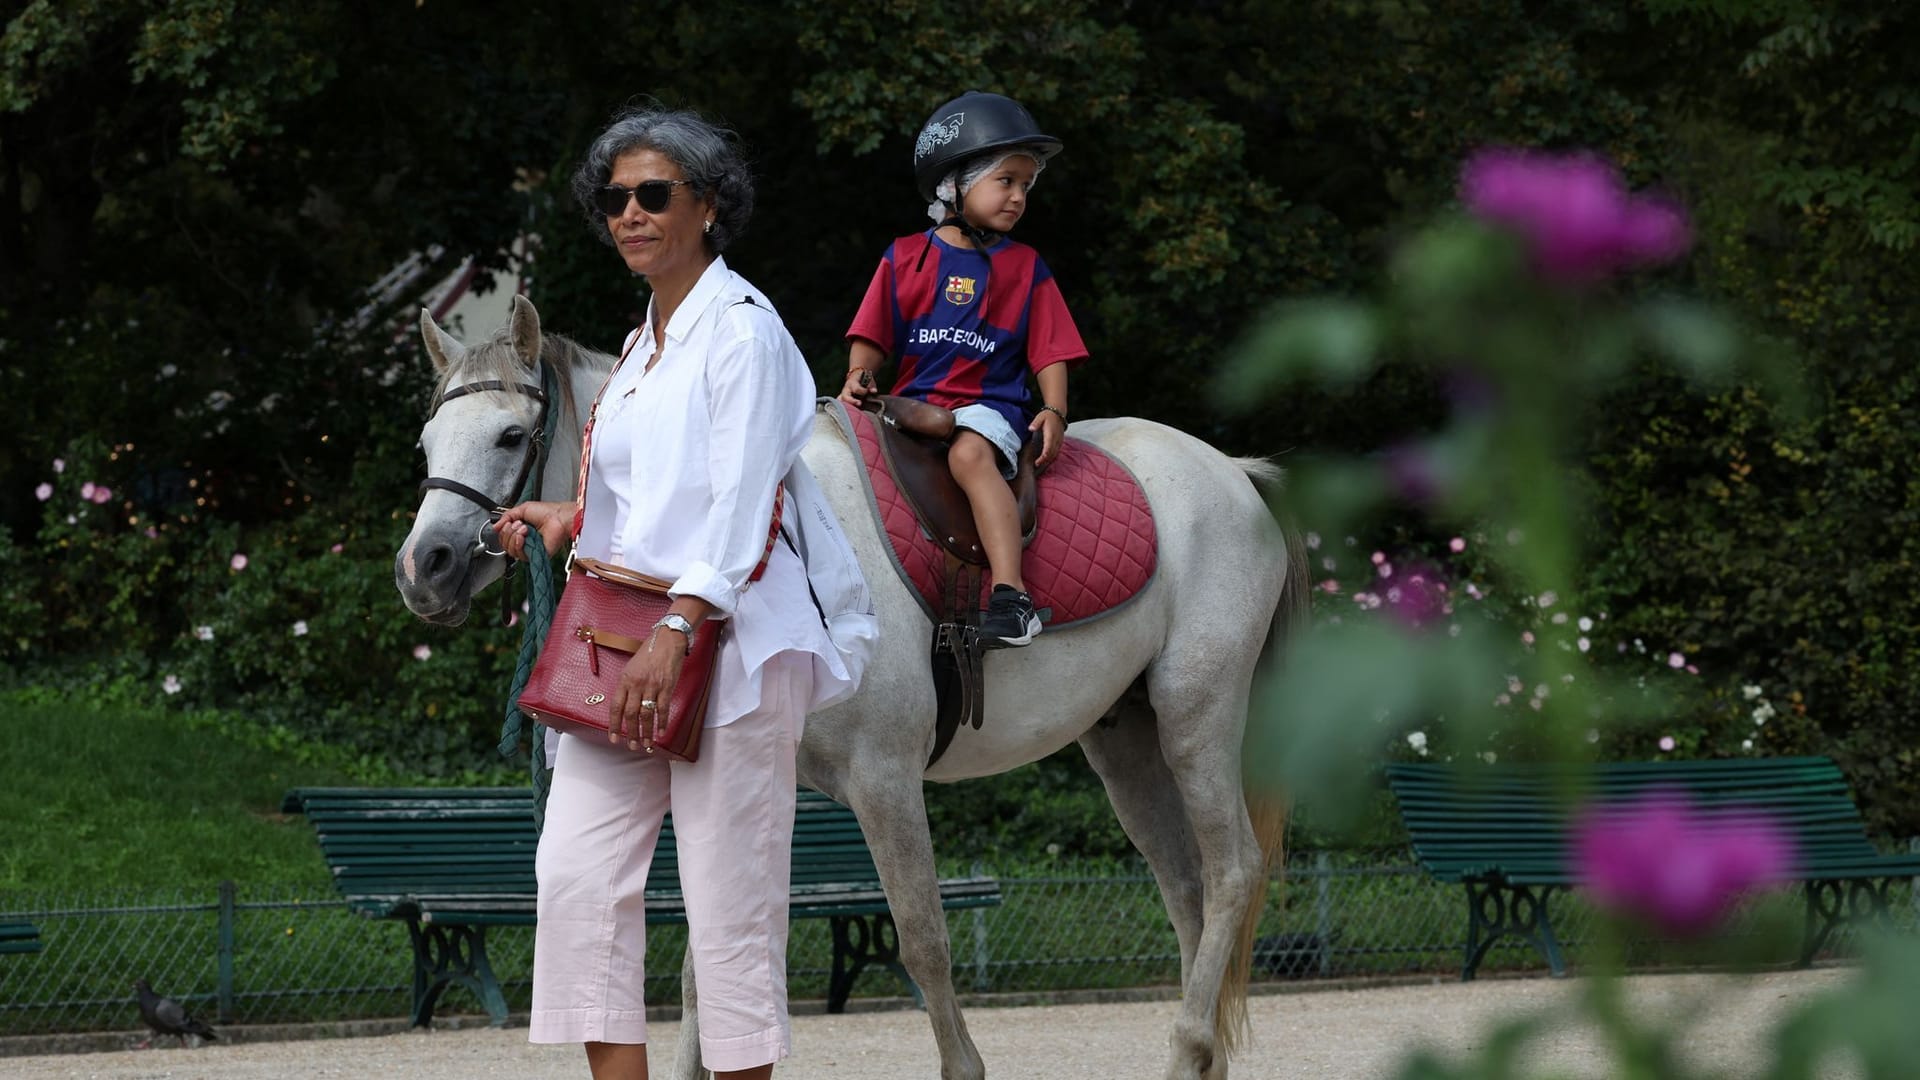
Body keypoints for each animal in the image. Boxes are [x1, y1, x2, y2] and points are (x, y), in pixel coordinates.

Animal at [399, 297, 1313, 1076]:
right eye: (426, 442)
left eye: (510, 435)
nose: (424, 567)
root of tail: (1233, 472)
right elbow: (705, 964)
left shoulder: (885, 781)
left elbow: (923, 940)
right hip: (1126, 743)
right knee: (1189, 887)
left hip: (1196, 718)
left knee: (1233, 871)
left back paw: (1190, 1044)